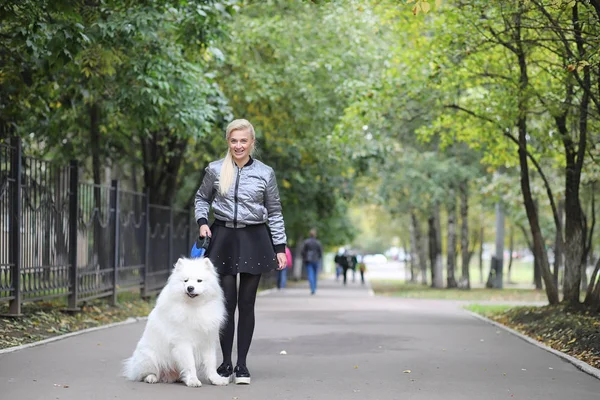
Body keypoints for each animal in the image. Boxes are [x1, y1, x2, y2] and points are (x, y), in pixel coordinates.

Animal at [122, 256, 230, 388]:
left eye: (199, 281)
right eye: (185, 281)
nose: (190, 288)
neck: (195, 306)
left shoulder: (207, 341)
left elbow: (211, 363)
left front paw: (216, 379)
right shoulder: (183, 342)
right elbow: (190, 363)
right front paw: (193, 380)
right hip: (150, 356)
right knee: (147, 373)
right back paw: (151, 378)